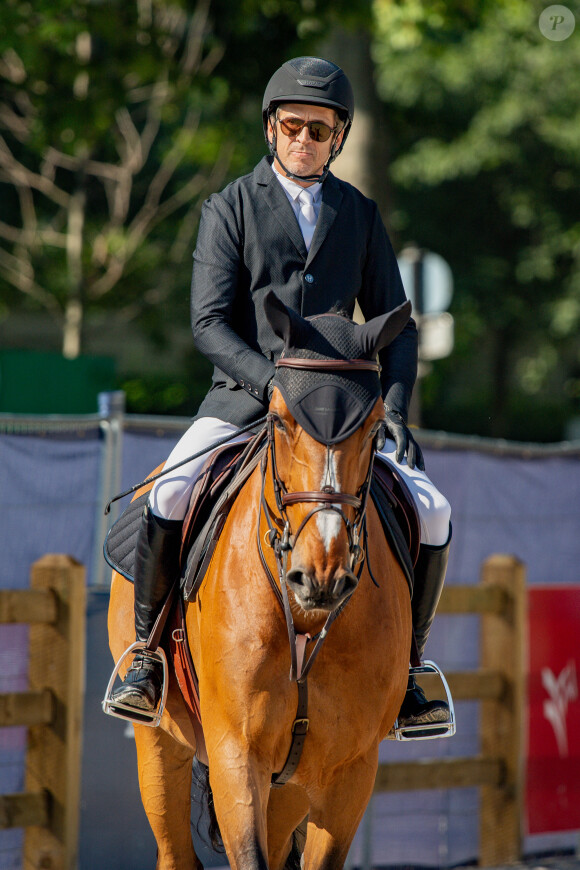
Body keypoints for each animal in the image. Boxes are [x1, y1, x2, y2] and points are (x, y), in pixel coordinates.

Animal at [107, 294, 412, 870]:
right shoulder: (237, 752)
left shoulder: (350, 770)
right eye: (280, 419)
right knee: (175, 849)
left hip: (288, 785)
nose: (321, 576)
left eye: (376, 427)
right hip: (159, 745)